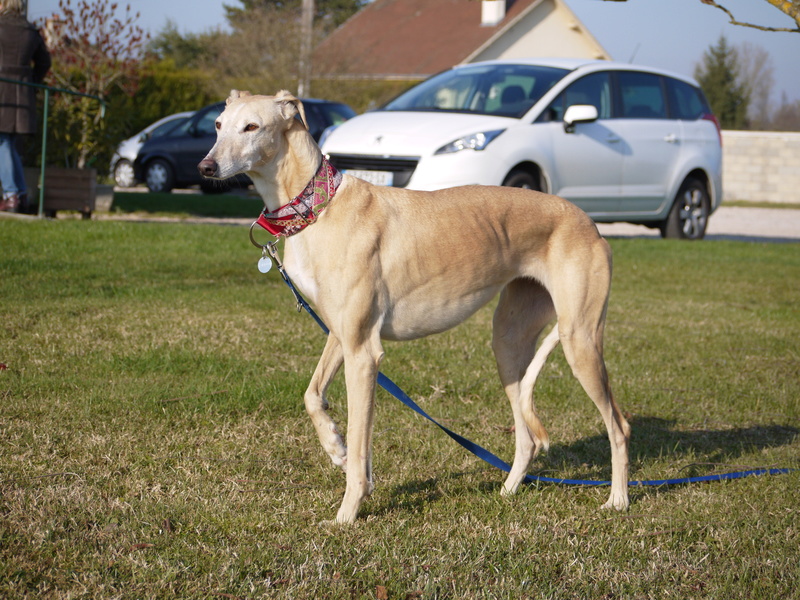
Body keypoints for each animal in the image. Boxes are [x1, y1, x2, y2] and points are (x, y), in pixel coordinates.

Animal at [197, 90, 628, 524]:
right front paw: (335, 446)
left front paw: (347, 513)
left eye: (252, 126)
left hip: (579, 338)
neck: (320, 207)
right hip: (509, 343)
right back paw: (507, 491)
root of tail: (590, 224)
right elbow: (313, 396)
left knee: (619, 426)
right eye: (218, 125)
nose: (206, 167)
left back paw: (618, 500)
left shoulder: (363, 352)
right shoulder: (342, 333)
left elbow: (360, 444)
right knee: (527, 437)